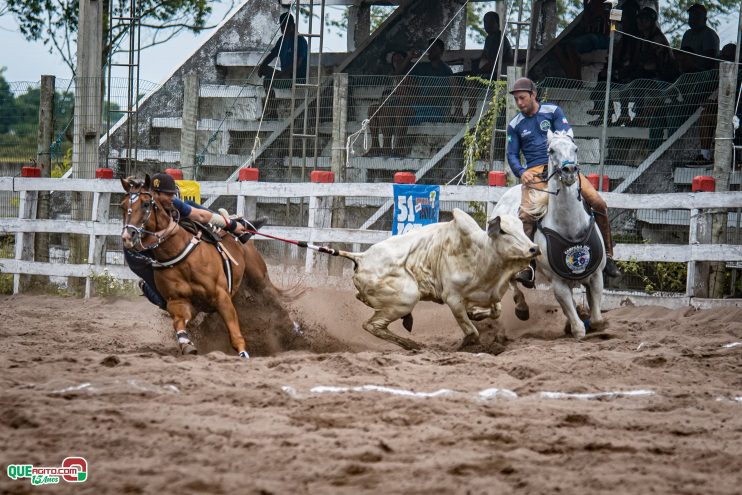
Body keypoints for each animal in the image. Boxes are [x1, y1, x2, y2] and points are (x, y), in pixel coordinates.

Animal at [120, 176, 284, 358]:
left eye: (145, 204)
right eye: (123, 205)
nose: (127, 236)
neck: (179, 255)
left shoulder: (221, 297)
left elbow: (235, 334)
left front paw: (243, 354)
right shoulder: (178, 302)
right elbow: (179, 322)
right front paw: (186, 344)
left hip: (259, 279)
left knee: (277, 303)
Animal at [342, 209, 540, 352]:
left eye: (522, 228)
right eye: (504, 231)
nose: (534, 248)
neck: (480, 254)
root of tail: (361, 257)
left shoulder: (489, 294)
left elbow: (496, 311)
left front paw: (475, 314)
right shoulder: (453, 299)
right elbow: (472, 331)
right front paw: (466, 344)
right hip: (406, 298)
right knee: (372, 325)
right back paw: (413, 345)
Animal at [494, 130, 604, 340]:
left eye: (575, 148)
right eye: (551, 150)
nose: (569, 171)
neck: (569, 227)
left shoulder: (595, 275)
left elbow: (596, 319)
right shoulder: (557, 282)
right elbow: (575, 320)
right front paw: (576, 327)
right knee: (513, 283)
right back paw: (522, 308)